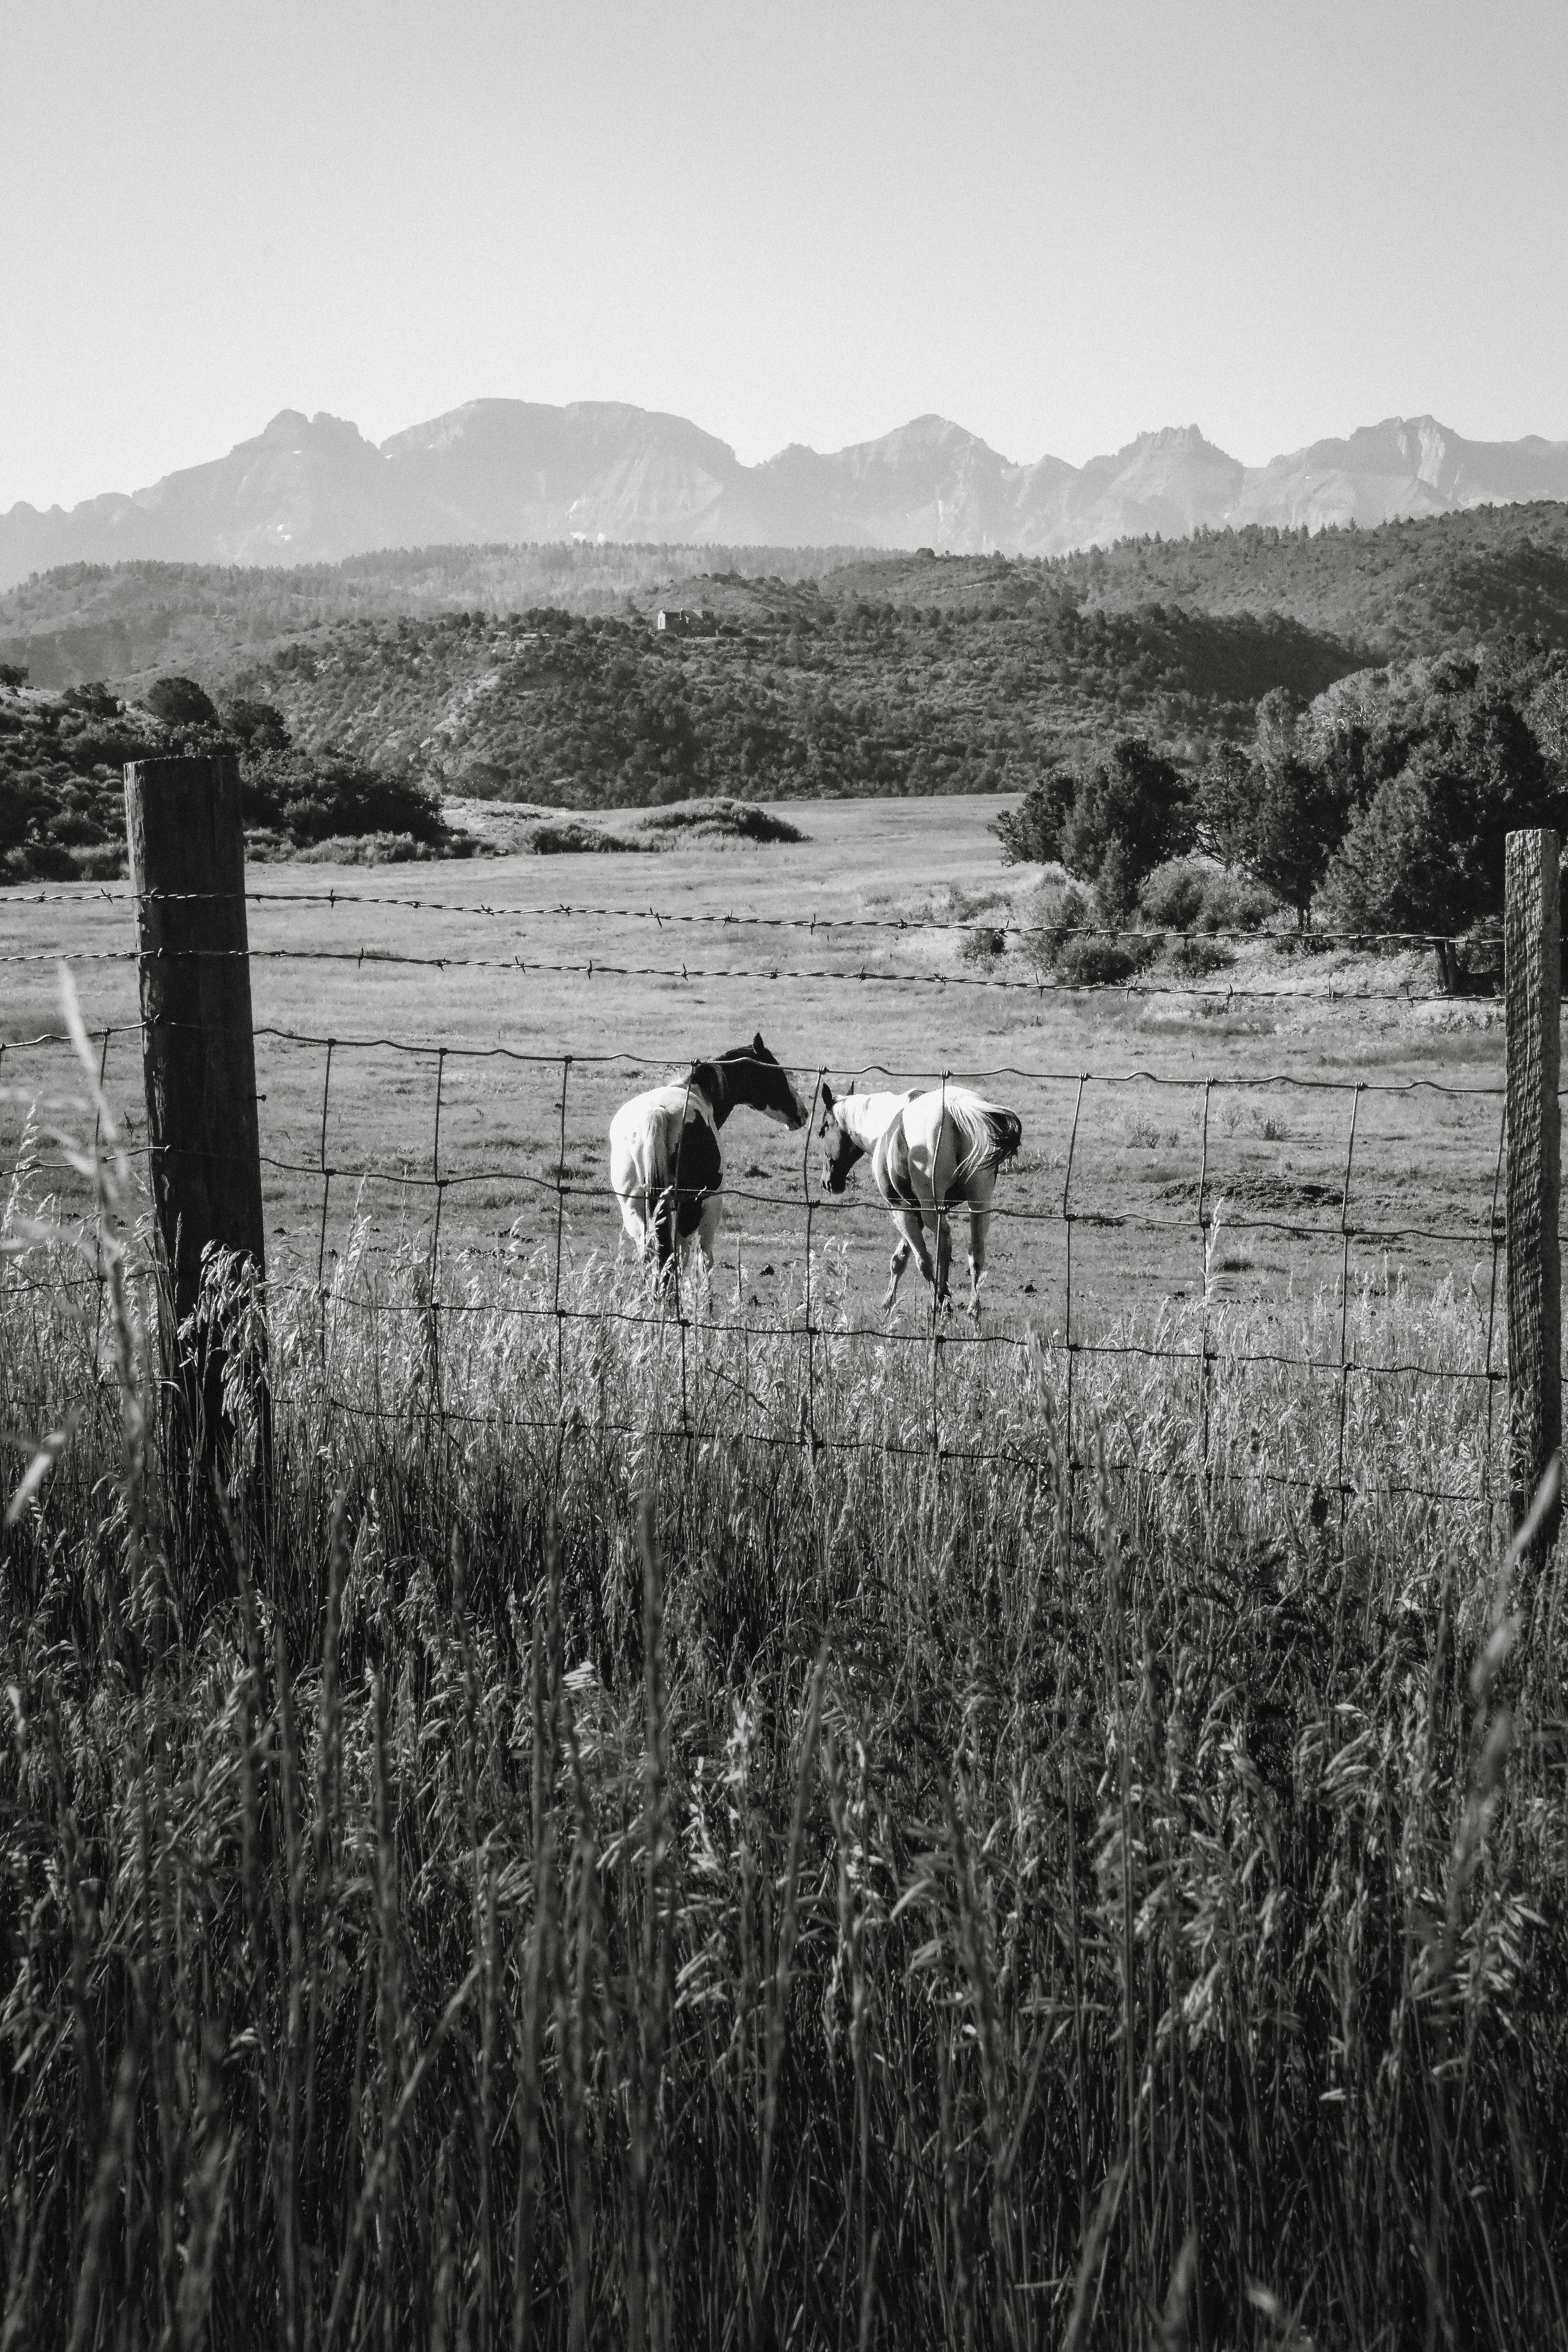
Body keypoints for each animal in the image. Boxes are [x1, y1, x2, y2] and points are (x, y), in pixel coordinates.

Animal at [610, 1032, 807, 1275]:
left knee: (650, 1256)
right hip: (690, 1209)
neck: (700, 1094)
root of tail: (657, 1113)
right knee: (678, 1257)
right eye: (777, 1073)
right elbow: (705, 1260)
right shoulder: (712, 1207)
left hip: (634, 1209)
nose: (803, 1113)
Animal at [818, 1079, 1023, 1316]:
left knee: (943, 1243)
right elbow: (900, 1258)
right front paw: (888, 1302)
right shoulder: (914, 1212)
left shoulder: (901, 1209)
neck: (886, 1123)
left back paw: (942, 1301)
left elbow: (921, 1259)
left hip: (931, 1207)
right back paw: (973, 1310)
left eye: (824, 1130)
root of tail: (955, 1107)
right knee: (976, 1252)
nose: (828, 1182)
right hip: (979, 1203)